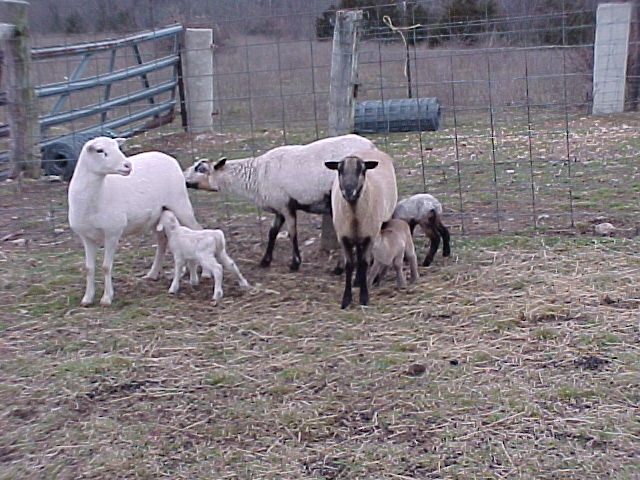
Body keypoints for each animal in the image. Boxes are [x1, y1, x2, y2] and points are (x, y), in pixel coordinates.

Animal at [68, 137, 200, 306]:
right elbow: (89, 268)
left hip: (180, 203)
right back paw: (153, 273)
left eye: (118, 147)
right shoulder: (86, 237)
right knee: (162, 241)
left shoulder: (112, 232)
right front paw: (87, 298)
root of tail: (167, 156)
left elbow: (106, 266)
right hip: (157, 214)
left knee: (197, 228)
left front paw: (106, 298)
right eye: (100, 150)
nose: (128, 165)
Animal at [183, 134, 377, 271]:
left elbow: (292, 233)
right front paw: (265, 261)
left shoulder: (286, 204)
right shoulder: (278, 208)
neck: (255, 176)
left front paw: (295, 263)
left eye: (200, 169)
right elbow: (272, 233)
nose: (183, 179)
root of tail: (372, 147)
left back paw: (340, 267)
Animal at [325, 149, 398, 308]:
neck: (354, 216)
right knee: (357, 251)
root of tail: (371, 150)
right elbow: (349, 264)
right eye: (339, 170)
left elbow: (364, 263)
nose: (348, 192)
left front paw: (364, 297)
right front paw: (346, 299)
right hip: (357, 234)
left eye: (362, 170)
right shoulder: (343, 237)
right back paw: (357, 280)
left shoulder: (370, 236)